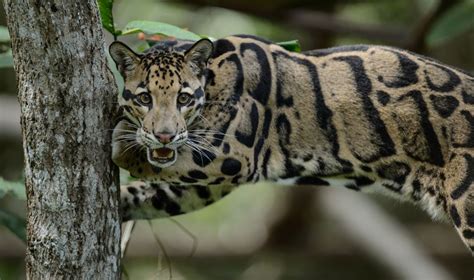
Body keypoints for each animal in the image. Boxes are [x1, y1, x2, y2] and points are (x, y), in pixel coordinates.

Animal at [109, 34, 474, 254]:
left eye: (183, 98)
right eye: (144, 97)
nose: (165, 135)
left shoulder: (231, 153)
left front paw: (124, 145)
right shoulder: (203, 186)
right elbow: (155, 195)